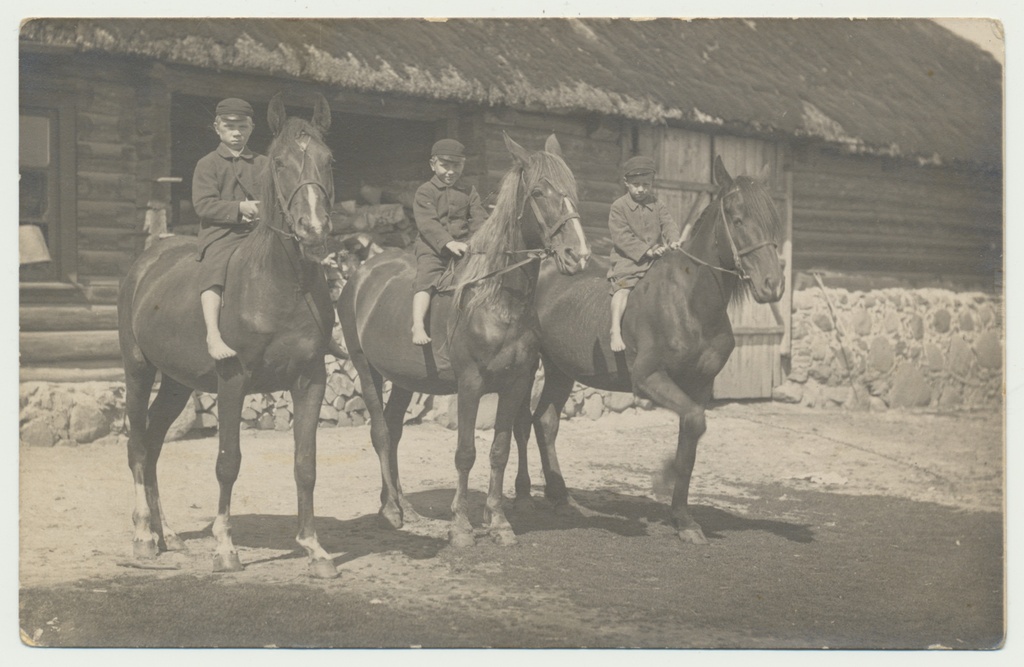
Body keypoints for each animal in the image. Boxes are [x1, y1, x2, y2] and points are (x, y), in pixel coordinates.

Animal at [117, 93, 337, 577]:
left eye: (329, 159)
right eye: (279, 163)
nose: (313, 230)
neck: (281, 284)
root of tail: (147, 260)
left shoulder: (311, 380)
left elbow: (307, 464)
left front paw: (315, 548)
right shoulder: (232, 381)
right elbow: (228, 463)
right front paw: (225, 547)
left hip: (176, 384)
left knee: (154, 443)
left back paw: (168, 535)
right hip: (138, 371)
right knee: (138, 446)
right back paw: (143, 537)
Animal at [337, 132, 593, 549]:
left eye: (572, 190)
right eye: (539, 192)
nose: (579, 255)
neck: (497, 300)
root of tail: (361, 275)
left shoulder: (515, 384)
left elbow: (499, 450)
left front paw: (499, 522)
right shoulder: (470, 385)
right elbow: (465, 453)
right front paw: (460, 526)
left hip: (406, 380)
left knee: (393, 429)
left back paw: (403, 507)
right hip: (365, 368)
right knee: (379, 432)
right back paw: (390, 511)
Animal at [516, 158, 786, 545]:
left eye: (773, 219)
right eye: (737, 218)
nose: (772, 285)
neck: (689, 303)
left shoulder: (699, 386)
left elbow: (690, 441)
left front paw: (684, 519)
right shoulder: (649, 379)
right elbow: (693, 424)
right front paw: (663, 478)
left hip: (559, 369)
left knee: (546, 422)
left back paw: (561, 497)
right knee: (521, 422)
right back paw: (524, 495)